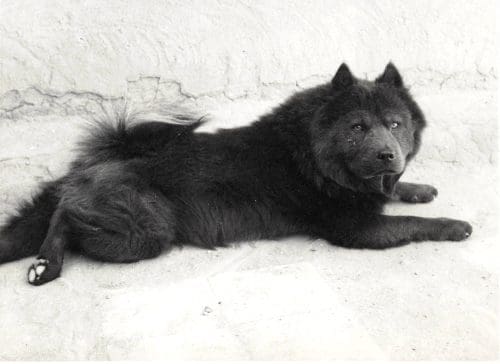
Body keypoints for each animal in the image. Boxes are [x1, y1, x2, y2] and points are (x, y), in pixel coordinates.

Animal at [0, 62, 472, 286]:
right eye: (357, 128)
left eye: (394, 124)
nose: (388, 155)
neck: (312, 153)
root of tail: (94, 162)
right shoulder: (357, 228)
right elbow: (412, 224)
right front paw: (454, 225)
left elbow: (396, 192)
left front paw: (418, 187)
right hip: (146, 230)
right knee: (66, 214)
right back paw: (46, 263)